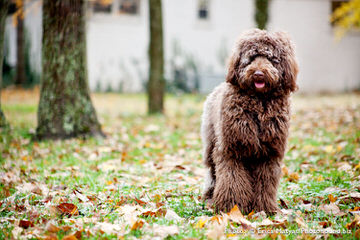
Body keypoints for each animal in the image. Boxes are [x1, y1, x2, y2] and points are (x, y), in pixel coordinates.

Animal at [202, 28, 298, 214]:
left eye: (271, 59)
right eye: (252, 58)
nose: (258, 73)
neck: (259, 103)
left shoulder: (269, 153)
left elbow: (265, 183)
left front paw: (264, 208)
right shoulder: (232, 149)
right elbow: (232, 180)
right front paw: (232, 207)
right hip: (211, 145)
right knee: (213, 173)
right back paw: (210, 198)